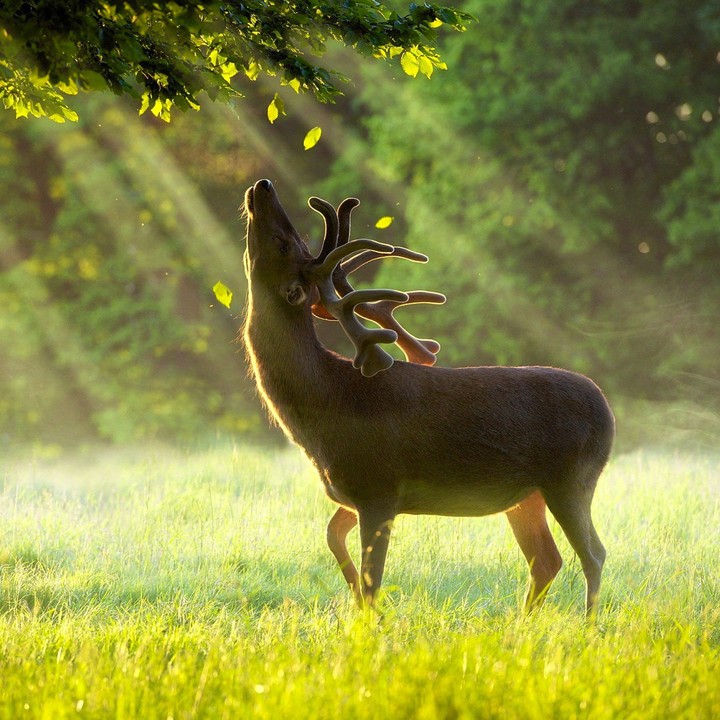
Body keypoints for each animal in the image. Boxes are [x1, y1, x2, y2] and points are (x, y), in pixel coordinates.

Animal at [241, 178, 615, 617]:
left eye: (285, 243)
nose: (263, 185)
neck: (324, 407)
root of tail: (607, 411)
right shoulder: (354, 493)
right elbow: (333, 537)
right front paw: (355, 601)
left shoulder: (378, 486)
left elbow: (373, 579)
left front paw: (368, 618)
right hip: (526, 496)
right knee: (546, 559)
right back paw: (523, 624)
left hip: (572, 478)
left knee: (593, 554)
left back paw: (588, 625)